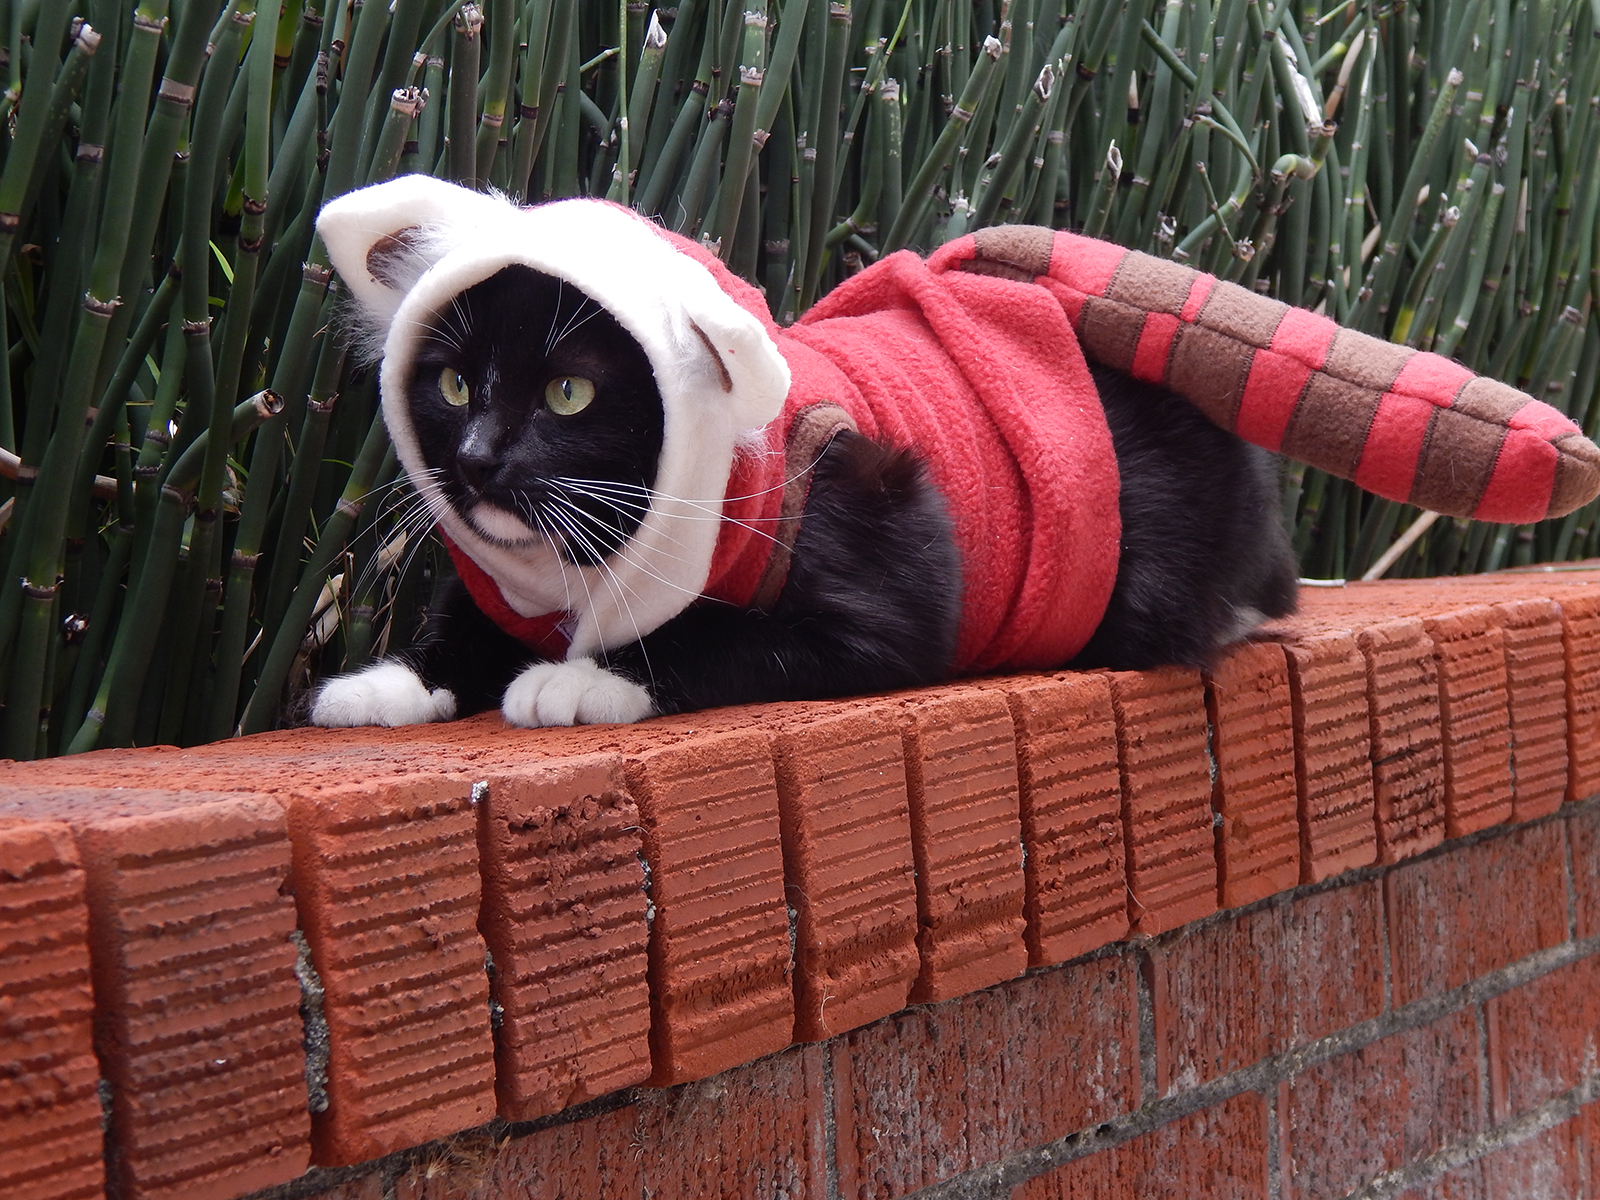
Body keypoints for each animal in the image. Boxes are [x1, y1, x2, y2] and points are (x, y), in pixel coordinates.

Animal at [312, 173, 1299, 729]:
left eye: (568, 392)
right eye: (452, 385)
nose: (479, 458)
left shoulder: (886, 541)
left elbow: (743, 633)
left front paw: (583, 681)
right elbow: (461, 631)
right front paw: (383, 685)